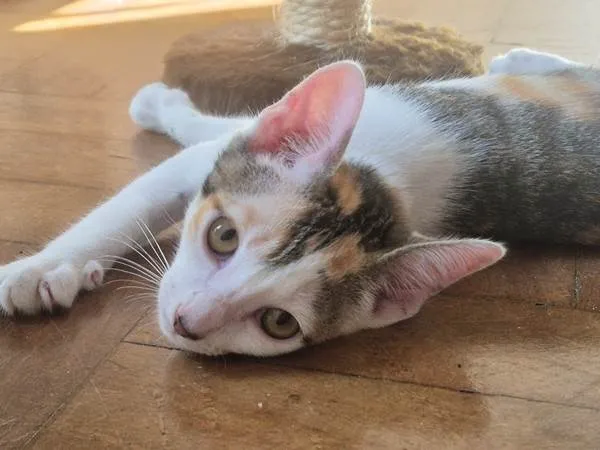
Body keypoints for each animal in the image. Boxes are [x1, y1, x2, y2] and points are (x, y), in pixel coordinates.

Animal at [1, 48, 599, 357]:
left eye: (278, 323)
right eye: (223, 237)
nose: (186, 322)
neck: (383, 173)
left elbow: (203, 128)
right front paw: (45, 267)